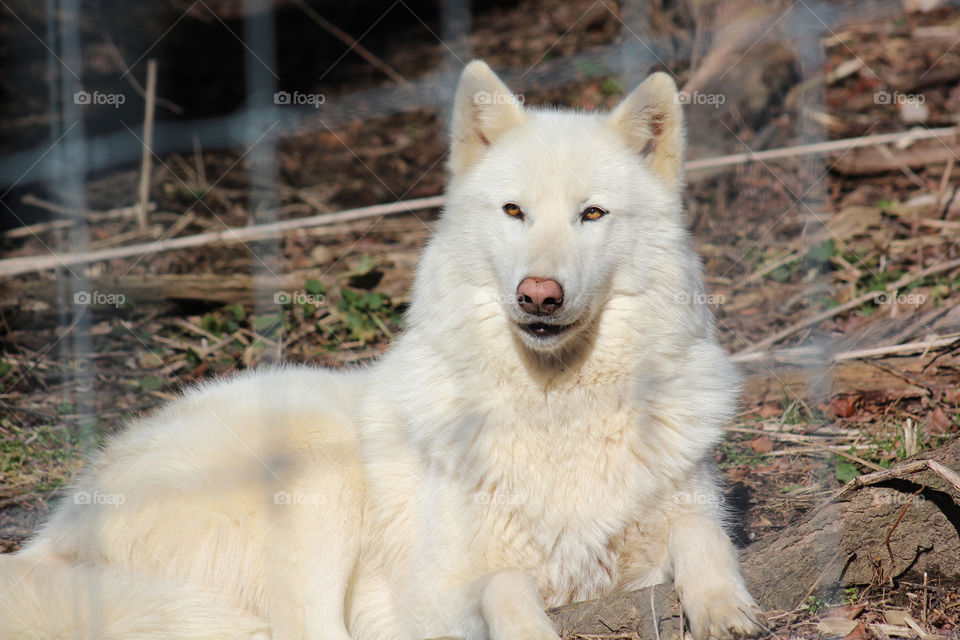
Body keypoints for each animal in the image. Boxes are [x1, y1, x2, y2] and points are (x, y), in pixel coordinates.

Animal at [3, 62, 760, 640]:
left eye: (592, 214)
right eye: (514, 211)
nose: (538, 296)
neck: (556, 408)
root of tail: (54, 535)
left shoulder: (672, 520)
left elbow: (704, 537)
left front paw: (725, 606)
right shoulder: (430, 595)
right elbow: (506, 585)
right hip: (315, 469)